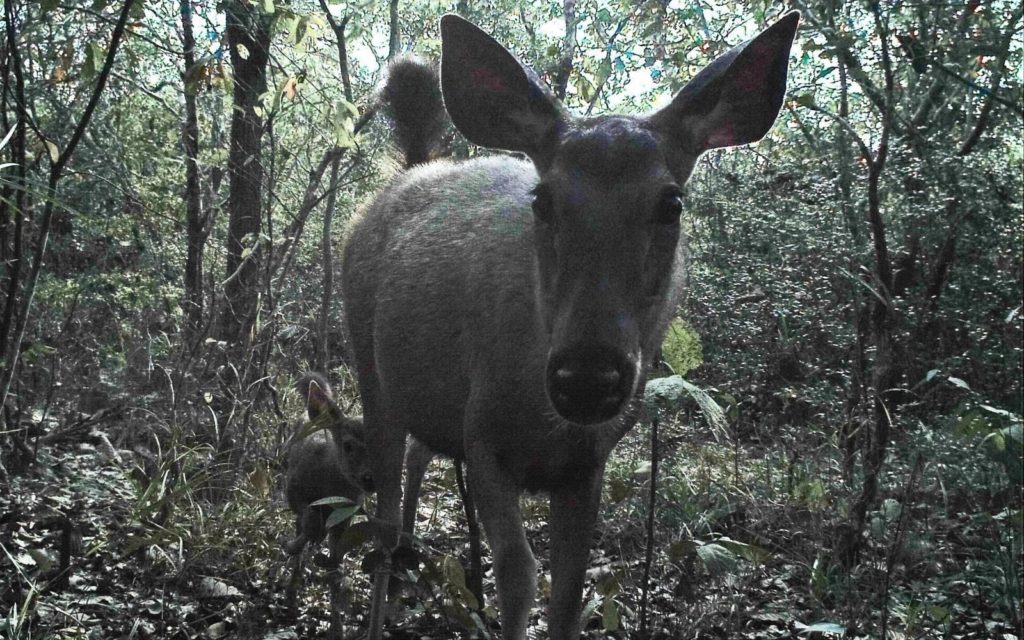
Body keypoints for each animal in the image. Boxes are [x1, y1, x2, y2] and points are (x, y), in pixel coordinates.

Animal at [344, 11, 798, 638]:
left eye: (671, 203)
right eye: (543, 200)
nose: (586, 377)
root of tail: (410, 172)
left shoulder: (588, 464)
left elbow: (568, 592)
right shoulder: (482, 435)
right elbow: (519, 576)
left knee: (417, 459)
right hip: (369, 370)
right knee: (383, 515)